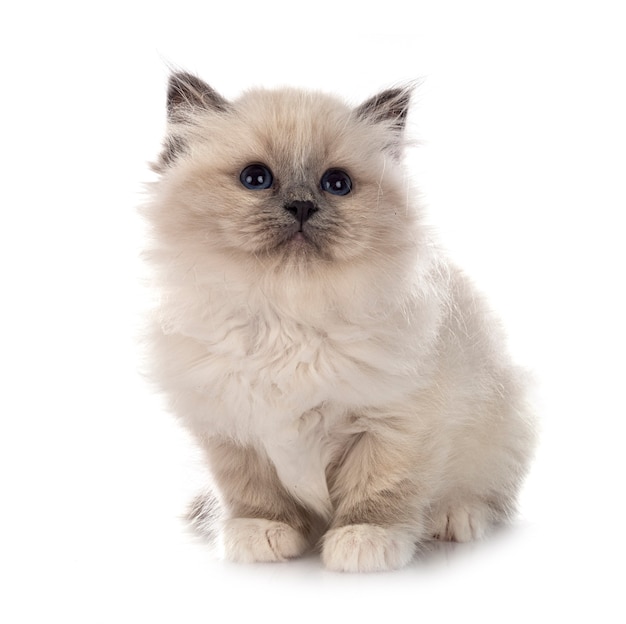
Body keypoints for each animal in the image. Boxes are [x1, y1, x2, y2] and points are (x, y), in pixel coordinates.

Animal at [140, 70, 532, 572]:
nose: (302, 206)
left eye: (337, 183)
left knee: (484, 496)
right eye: (255, 178)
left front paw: (363, 541)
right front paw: (262, 534)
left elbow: (380, 489)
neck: (287, 317)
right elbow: (254, 493)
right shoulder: (231, 431)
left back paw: (454, 518)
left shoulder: (396, 422)